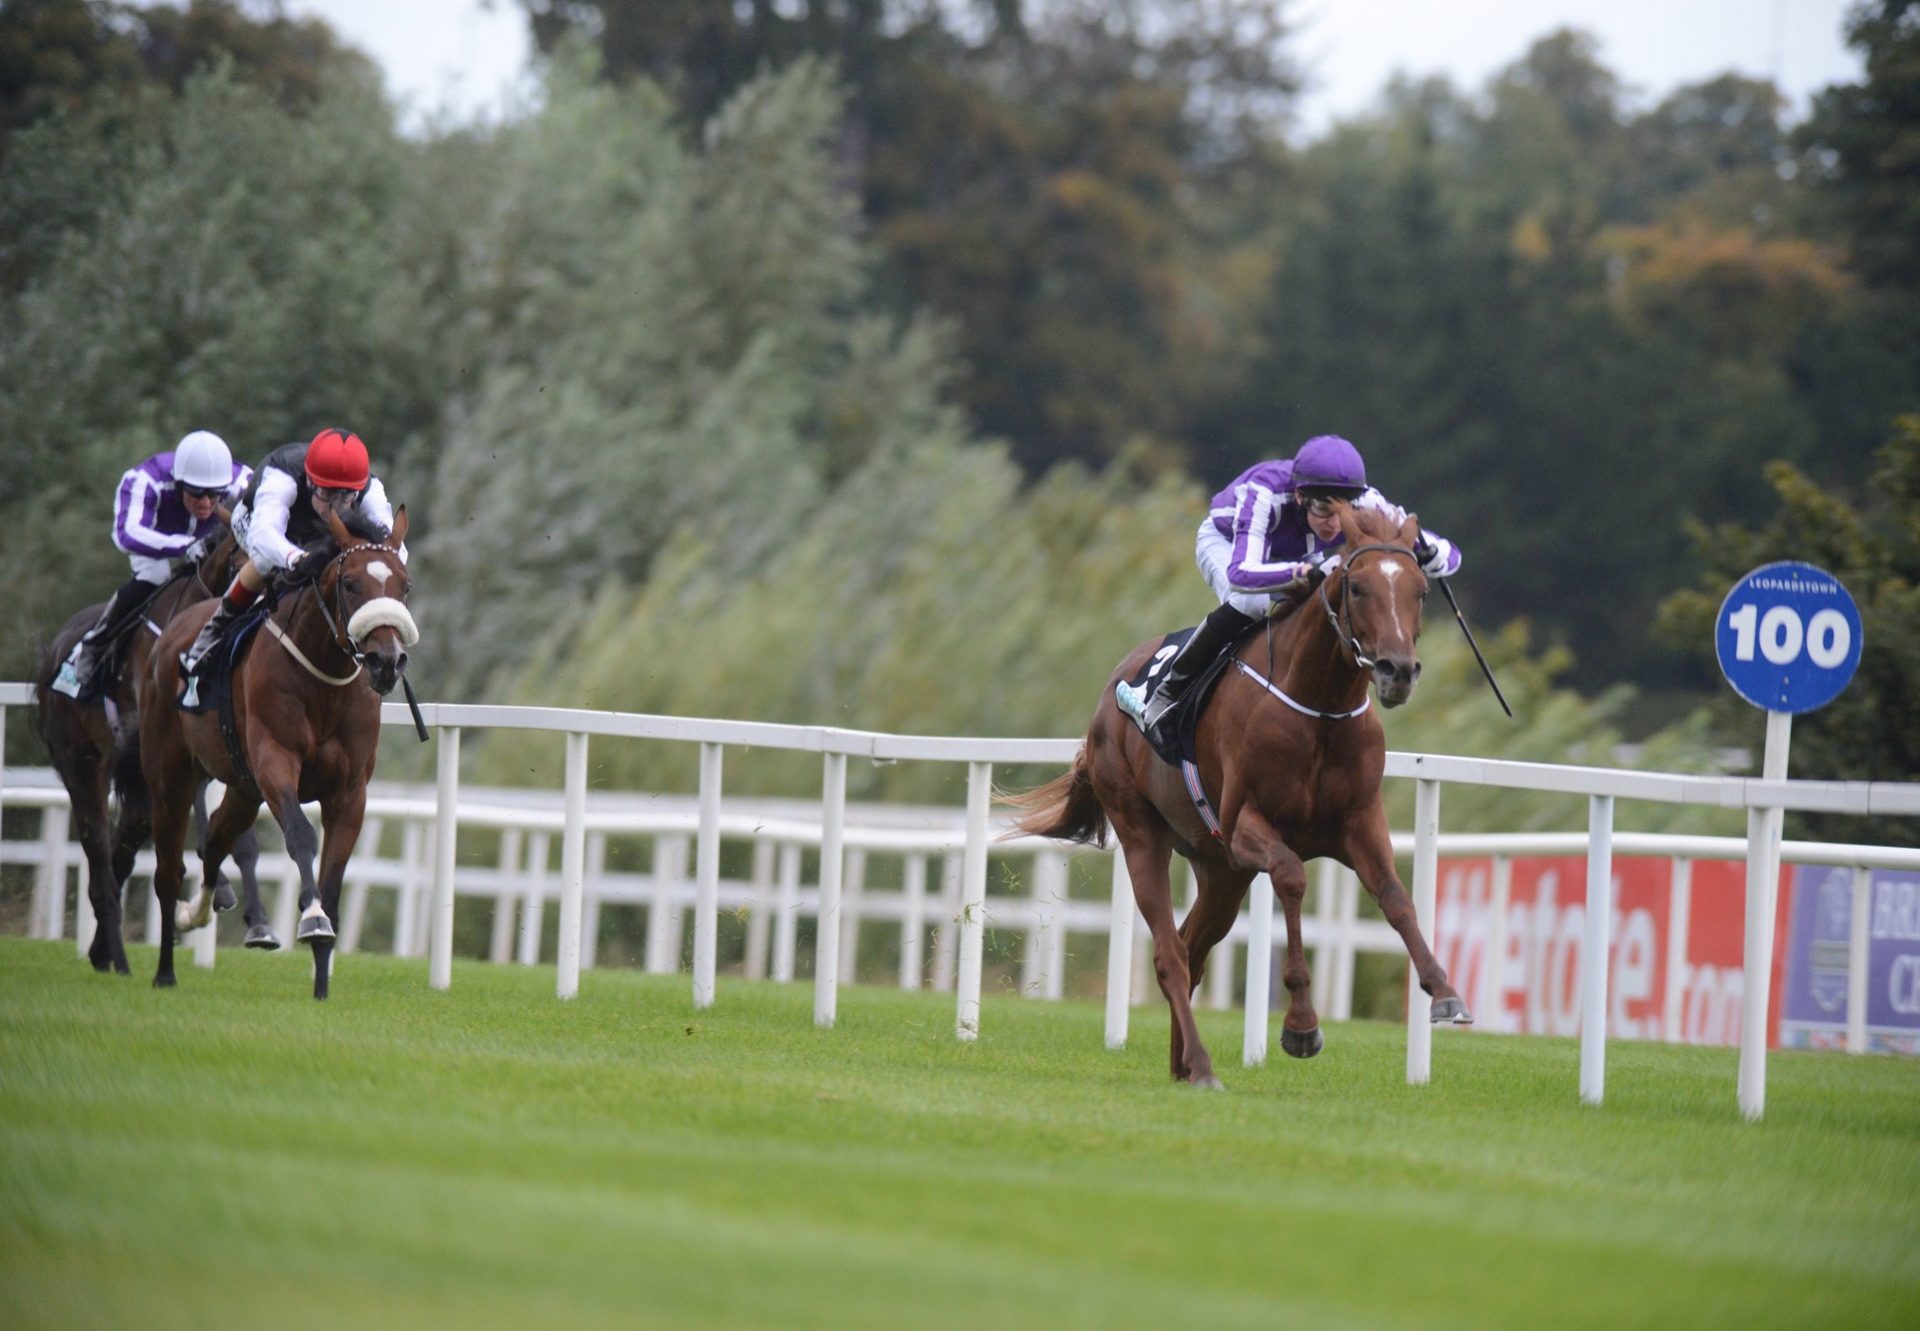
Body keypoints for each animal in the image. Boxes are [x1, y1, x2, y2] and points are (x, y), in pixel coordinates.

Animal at [30, 533, 274, 971]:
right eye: (242, 565)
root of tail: (53, 652)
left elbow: (236, 835)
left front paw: (257, 921)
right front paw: (221, 893)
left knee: (122, 850)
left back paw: (104, 950)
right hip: (81, 761)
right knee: (99, 851)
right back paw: (117, 953)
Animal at [140, 507, 418, 998]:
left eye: (404, 585)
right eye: (351, 584)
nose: (387, 661)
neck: (324, 678)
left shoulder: (349, 793)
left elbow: (334, 878)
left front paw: (322, 985)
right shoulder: (275, 764)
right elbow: (301, 837)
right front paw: (312, 919)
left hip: (242, 789)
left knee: (214, 843)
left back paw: (201, 914)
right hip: (171, 776)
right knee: (169, 869)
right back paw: (166, 969)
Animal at [1006, 503, 1466, 1083]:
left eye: (1420, 592)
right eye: (1358, 587)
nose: (1397, 671)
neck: (1319, 708)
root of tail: (1110, 693)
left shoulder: (1359, 823)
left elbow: (1397, 897)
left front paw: (1444, 991)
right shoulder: (1247, 823)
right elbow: (1291, 877)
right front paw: (1300, 1024)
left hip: (1220, 869)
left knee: (1191, 947)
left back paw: (1182, 1063)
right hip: (1142, 834)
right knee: (1170, 955)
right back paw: (1201, 1065)